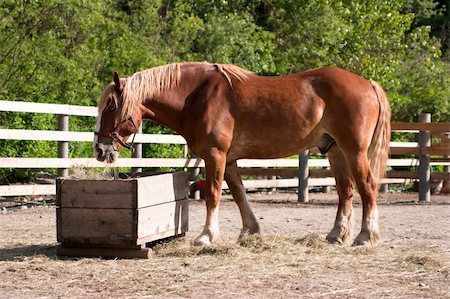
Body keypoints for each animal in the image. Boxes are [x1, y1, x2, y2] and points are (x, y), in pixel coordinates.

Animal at [93, 62, 388, 247]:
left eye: (111, 108)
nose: (100, 149)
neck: (196, 96)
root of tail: (367, 83)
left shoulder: (215, 155)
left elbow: (213, 194)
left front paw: (206, 236)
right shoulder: (230, 159)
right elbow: (238, 194)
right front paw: (250, 230)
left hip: (354, 151)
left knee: (367, 188)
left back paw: (365, 236)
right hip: (335, 151)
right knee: (345, 191)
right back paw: (336, 235)